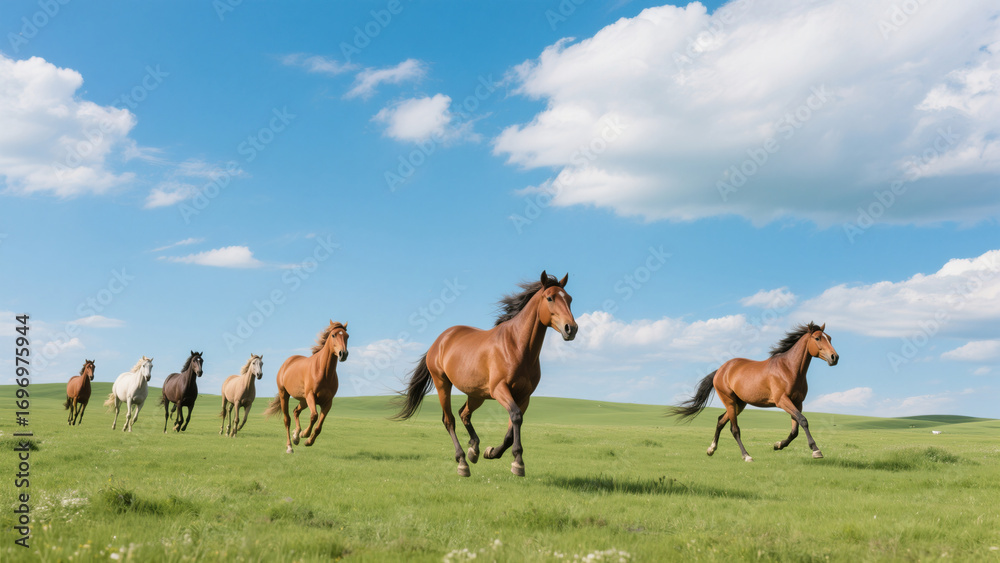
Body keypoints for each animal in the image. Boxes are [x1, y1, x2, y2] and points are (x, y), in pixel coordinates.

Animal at [263, 321, 349, 453]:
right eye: (333, 335)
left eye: (347, 336)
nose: (343, 354)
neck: (323, 371)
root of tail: (287, 363)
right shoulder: (311, 396)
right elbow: (314, 416)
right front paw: (304, 434)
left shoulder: (328, 402)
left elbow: (319, 426)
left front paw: (307, 441)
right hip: (285, 395)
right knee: (287, 419)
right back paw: (290, 446)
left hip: (303, 400)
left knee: (295, 411)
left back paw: (295, 436)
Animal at [393, 271, 578, 478]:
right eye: (550, 298)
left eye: (569, 299)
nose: (571, 328)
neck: (517, 346)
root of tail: (439, 340)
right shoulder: (500, 389)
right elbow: (516, 417)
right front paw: (518, 462)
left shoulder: (524, 396)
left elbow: (511, 428)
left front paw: (492, 452)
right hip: (443, 384)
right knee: (449, 420)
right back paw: (462, 462)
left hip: (476, 394)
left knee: (464, 413)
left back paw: (474, 450)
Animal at [669, 322, 839, 462]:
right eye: (817, 338)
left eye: (829, 338)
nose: (834, 357)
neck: (789, 369)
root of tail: (721, 370)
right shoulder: (782, 401)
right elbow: (803, 421)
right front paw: (816, 450)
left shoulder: (797, 402)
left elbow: (795, 430)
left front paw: (778, 445)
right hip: (729, 401)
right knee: (734, 429)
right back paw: (746, 456)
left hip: (739, 404)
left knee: (720, 421)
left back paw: (711, 449)